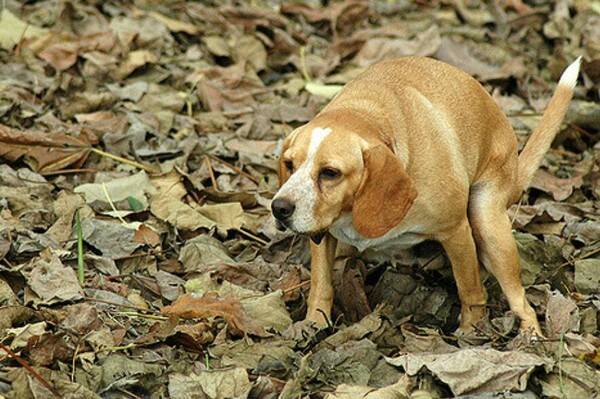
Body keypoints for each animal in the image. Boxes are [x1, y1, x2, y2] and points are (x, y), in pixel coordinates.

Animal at [272, 55, 580, 334]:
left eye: (330, 173)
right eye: (289, 164)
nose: (279, 208)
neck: (366, 112)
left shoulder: (456, 232)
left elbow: (470, 289)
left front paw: (471, 331)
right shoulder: (321, 236)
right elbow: (320, 285)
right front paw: (314, 324)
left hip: (488, 225)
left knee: (521, 301)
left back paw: (531, 336)